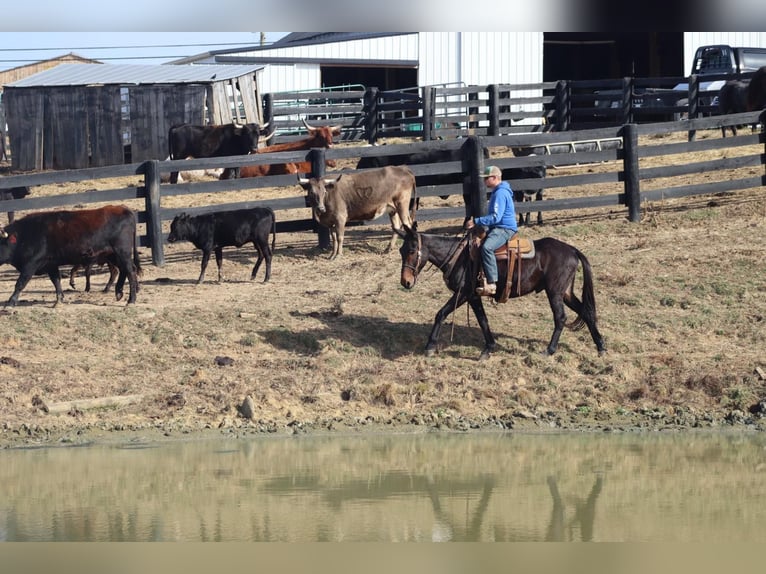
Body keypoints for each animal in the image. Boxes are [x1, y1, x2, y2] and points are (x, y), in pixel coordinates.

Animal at [0, 206, 141, 308]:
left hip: (122, 253)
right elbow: (56, 281)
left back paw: (131, 300)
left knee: (130, 271)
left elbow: (20, 283)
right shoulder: (50, 264)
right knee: (124, 270)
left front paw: (10, 303)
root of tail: (123, 209)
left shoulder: (31, 264)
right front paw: (59, 300)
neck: (25, 234)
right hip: (113, 256)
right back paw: (119, 292)